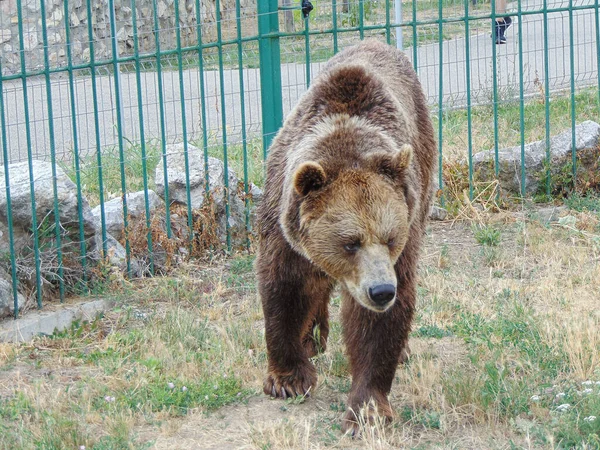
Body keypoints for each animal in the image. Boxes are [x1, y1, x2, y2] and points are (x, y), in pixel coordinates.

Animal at [254, 39, 436, 432]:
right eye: (349, 242)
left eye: (390, 238)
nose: (381, 291)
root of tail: (377, 41)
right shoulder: (284, 219)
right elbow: (285, 285)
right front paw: (288, 378)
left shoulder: (405, 229)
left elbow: (376, 324)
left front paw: (367, 408)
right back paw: (312, 339)